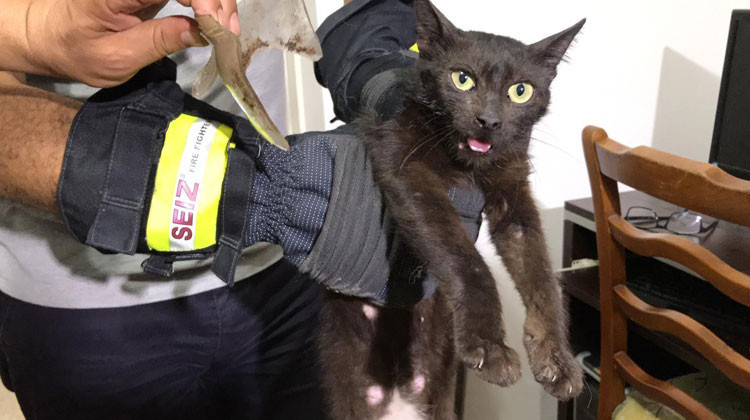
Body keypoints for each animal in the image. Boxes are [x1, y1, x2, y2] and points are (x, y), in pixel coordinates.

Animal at [317, 1, 585, 418]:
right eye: (462, 79)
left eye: (520, 91)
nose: (489, 121)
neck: (469, 166)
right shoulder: (407, 169)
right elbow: (465, 259)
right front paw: (489, 348)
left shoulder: (514, 196)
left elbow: (540, 274)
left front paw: (556, 360)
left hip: (439, 385)